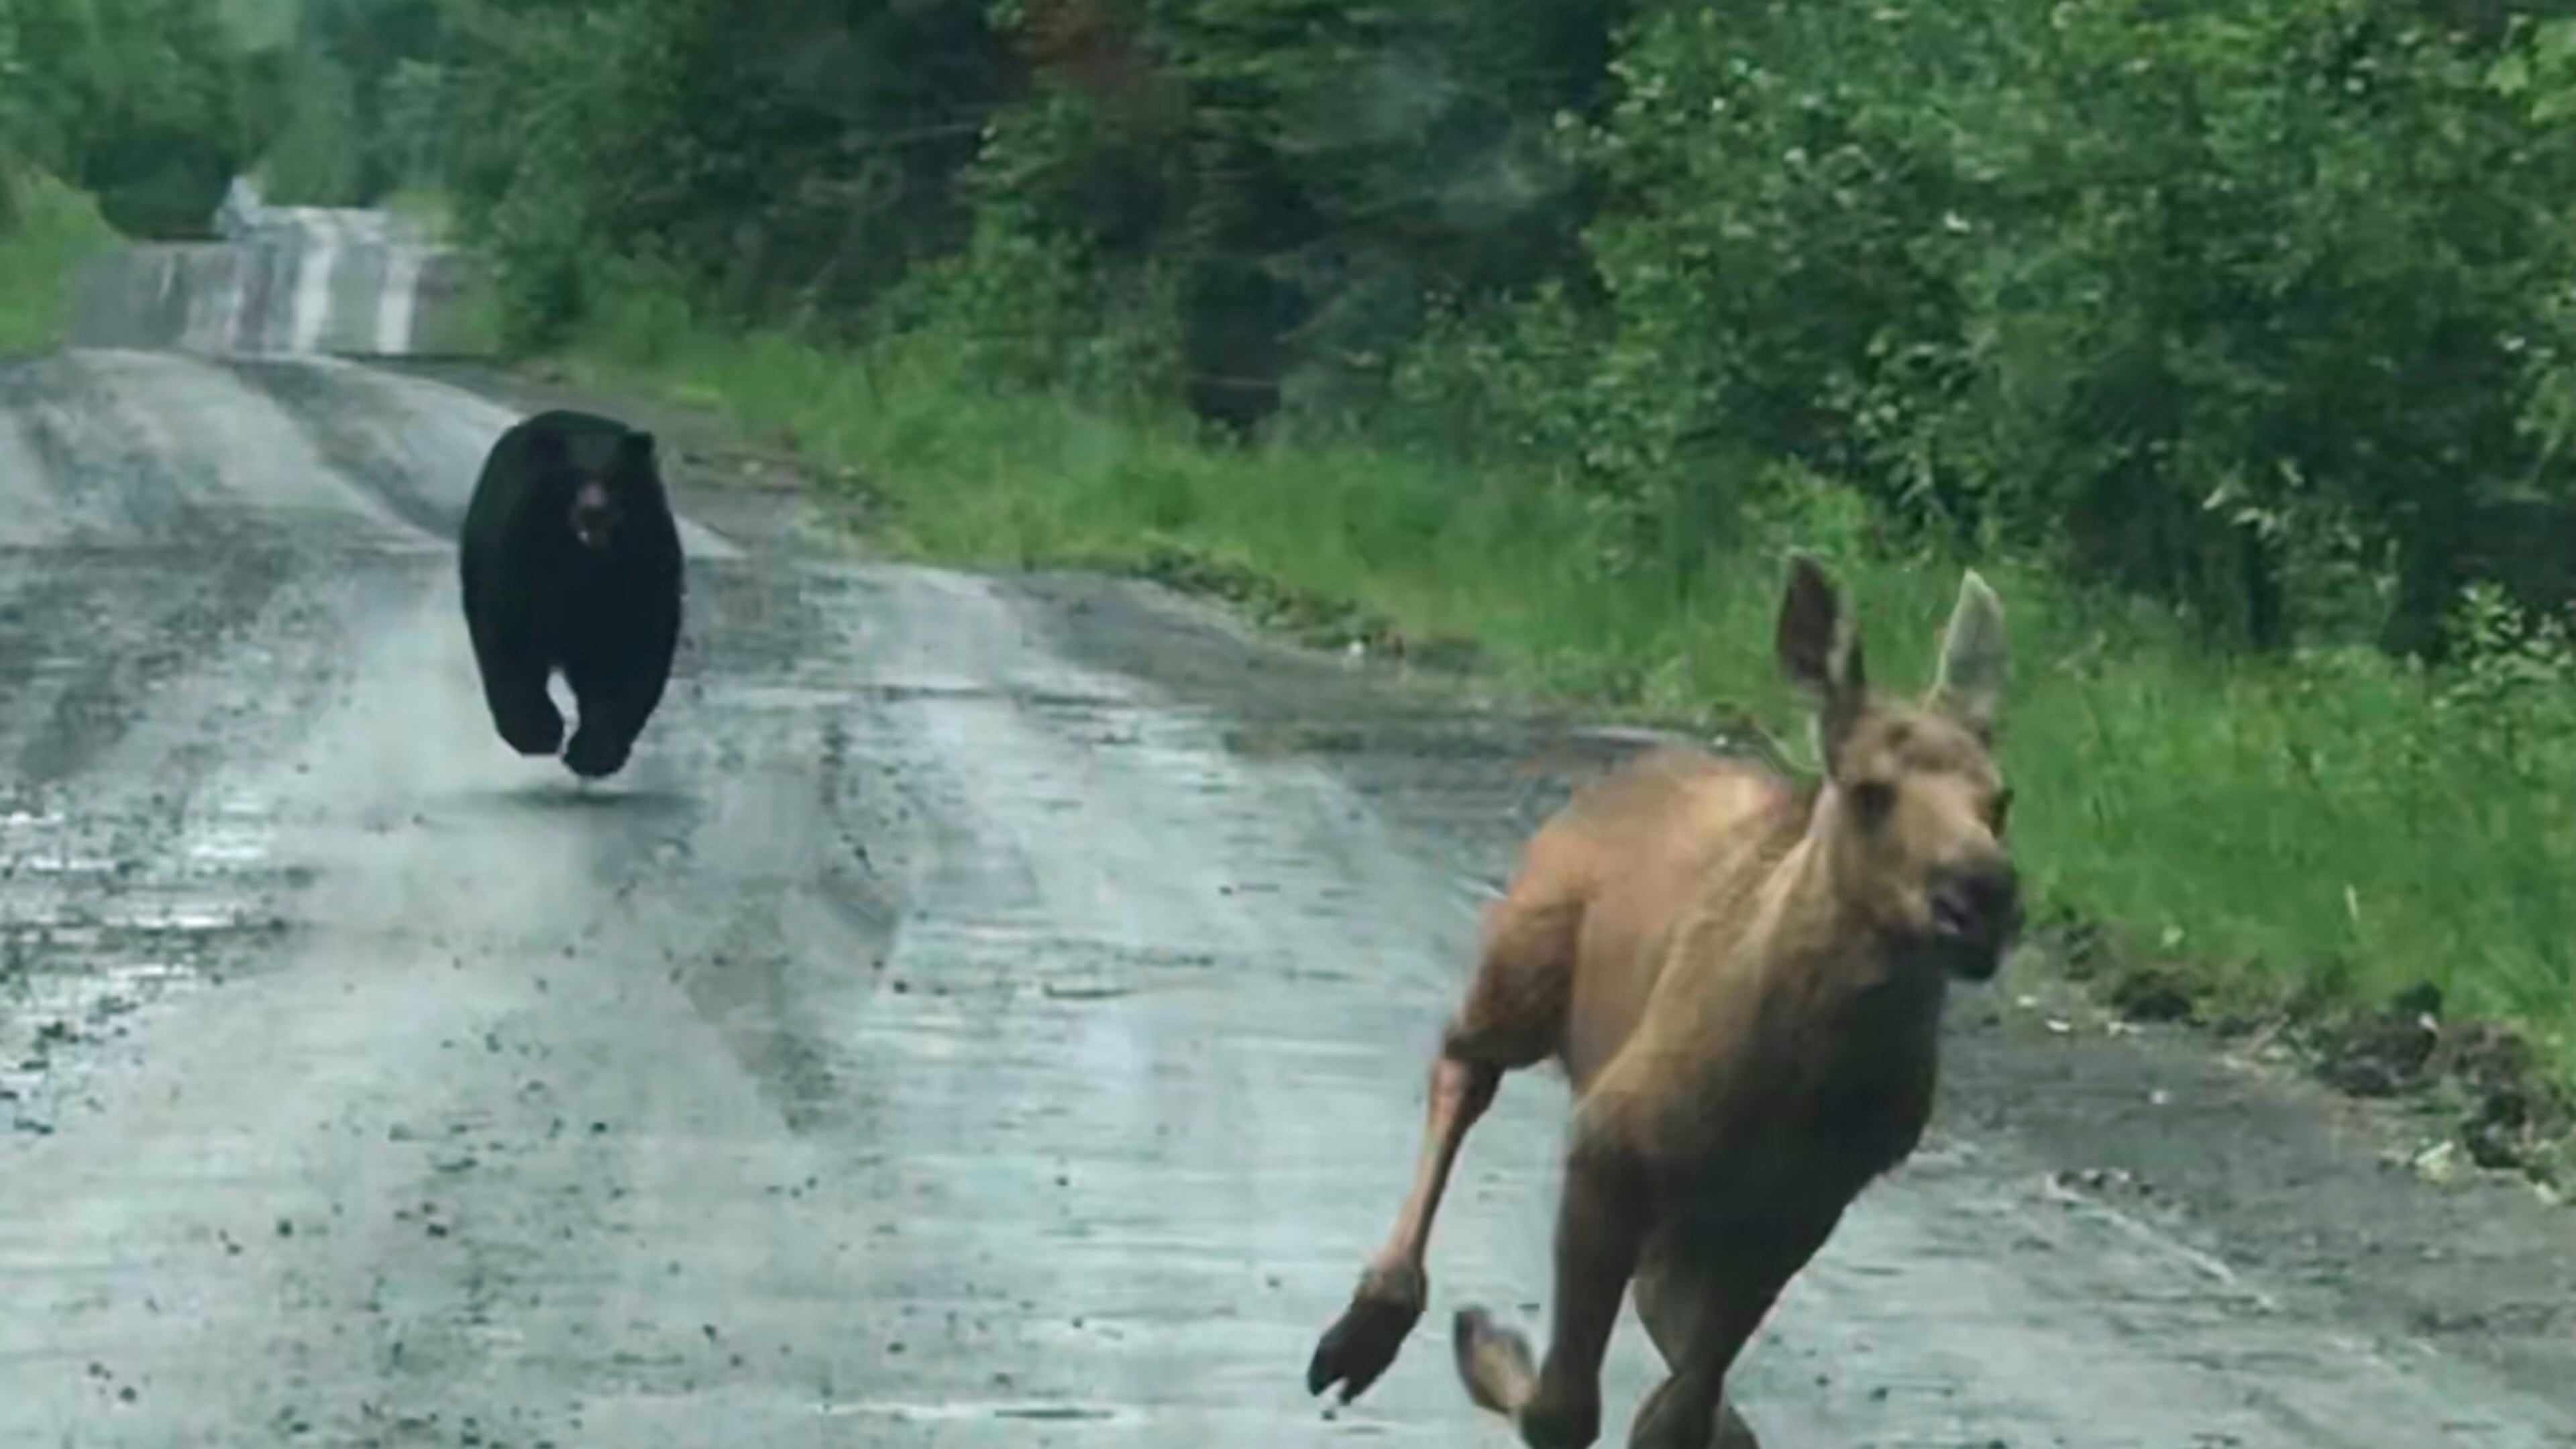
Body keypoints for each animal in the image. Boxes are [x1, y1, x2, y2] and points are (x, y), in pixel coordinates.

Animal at [458, 408, 685, 781]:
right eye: (574, 477)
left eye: (614, 478)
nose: (594, 511)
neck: (584, 562)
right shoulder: (519, 559)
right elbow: (510, 637)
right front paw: (536, 733)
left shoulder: (644, 569)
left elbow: (634, 652)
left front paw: (594, 753)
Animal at [1305, 553, 2019, 1449]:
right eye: (1868, 791)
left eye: (2003, 800)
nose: (1983, 894)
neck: (1806, 1080)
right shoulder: (1608, 1144)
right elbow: (1567, 1408)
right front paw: (1492, 1349)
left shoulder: (1800, 1209)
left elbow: (1677, 1408)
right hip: (1524, 961)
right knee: (1465, 1063)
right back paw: (1374, 1325)